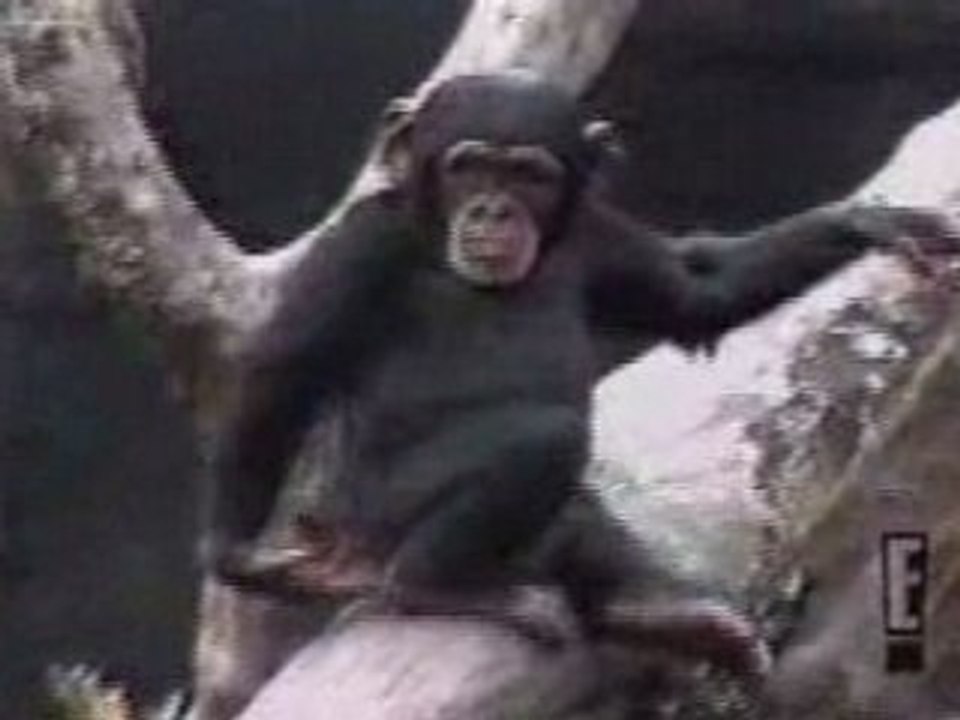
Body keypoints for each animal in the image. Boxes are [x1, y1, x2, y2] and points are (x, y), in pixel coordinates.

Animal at [202, 72, 958, 681]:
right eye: (467, 168)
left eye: (530, 176)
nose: (494, 210)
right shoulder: (362, 244)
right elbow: (286, 368)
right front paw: (237, 555)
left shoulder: (597, 231)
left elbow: (696, 293)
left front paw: (866, 222)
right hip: (378, 513)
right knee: (544, 438)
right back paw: (434, 587)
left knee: (575, 516)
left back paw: (656, 612)